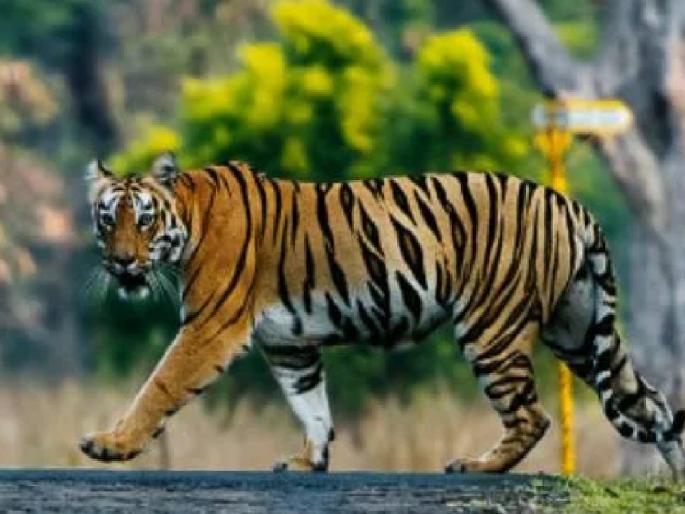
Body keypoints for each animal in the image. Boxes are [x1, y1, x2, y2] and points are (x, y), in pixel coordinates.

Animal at [80, 153, 685, 477]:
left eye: (144, 220)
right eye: (108, 220)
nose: (121, 262)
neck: (189, 221)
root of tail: (568, 203)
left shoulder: (210, 328)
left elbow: (159, 385)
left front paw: (111, 444)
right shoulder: (289, 343)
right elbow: (311, 405)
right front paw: (310, 461)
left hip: (491, 327)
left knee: (531, 416)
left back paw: (475, 466)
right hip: (578, 330)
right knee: (651, 403)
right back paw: (672, 480)